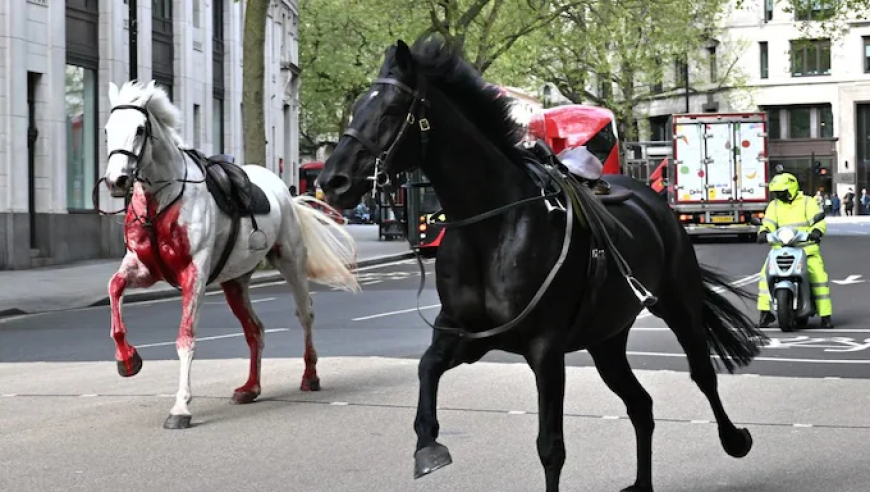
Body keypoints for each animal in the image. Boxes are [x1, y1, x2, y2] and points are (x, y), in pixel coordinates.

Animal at [103, 79, 362, 428]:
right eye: (107, 129)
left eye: (140, 129)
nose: (116, 180)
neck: (163, 199)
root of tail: (285, 192)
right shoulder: (145, 269)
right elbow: (114, 288)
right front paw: (127, 360)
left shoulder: (194, 274)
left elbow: (186, 338)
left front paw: (181, 408)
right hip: (235, 281)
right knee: (255, 329)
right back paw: (250, 388)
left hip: (291, 261)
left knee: (305, 313)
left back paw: (310, 375)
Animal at [316, 36, 768, 490]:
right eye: (357, 107)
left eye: (391, 110)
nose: (331, 181)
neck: (491, 227)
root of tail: (651, 197)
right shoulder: (466, 335)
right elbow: (426, 368)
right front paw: (428, 446)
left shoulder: (545, 348)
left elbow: (551, 447)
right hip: (606, 338)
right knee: (640, 403)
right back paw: (642, 483)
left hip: (678, 303)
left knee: (702, 373)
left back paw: (735, 439)